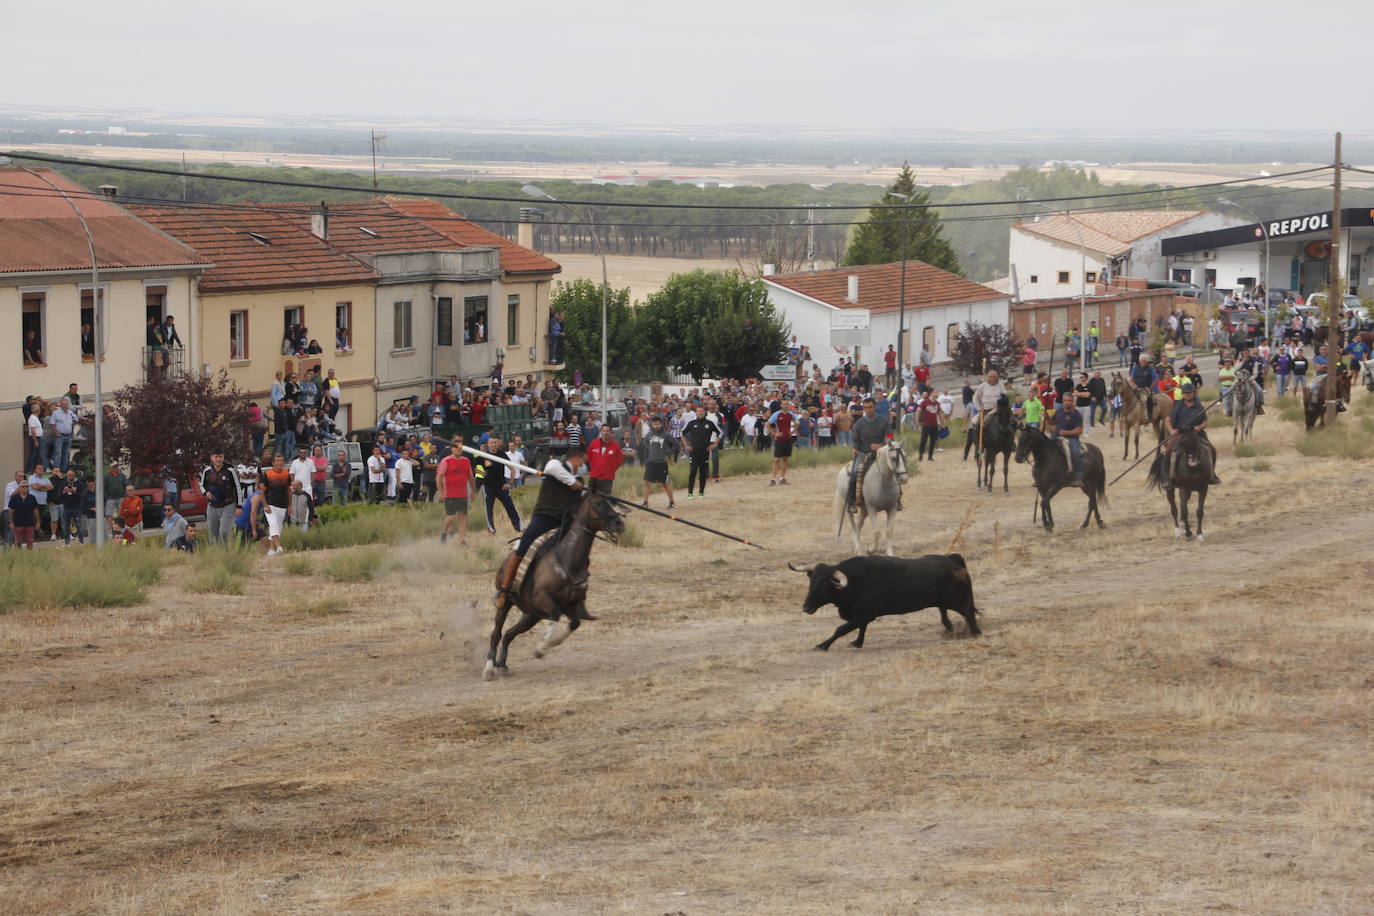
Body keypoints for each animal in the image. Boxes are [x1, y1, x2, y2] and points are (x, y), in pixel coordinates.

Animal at [486, 494, 626, 681]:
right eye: (597, 503)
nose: (619, 523)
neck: (568, 561)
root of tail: (505, 562)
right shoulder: (543, 598)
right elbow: (555, 616)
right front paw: (541, 648)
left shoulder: (572, 605)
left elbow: (574, 623)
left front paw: (549, 644)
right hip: (506, 605)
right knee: (496, 634)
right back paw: (489, 668)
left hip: (531, 615)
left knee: (509, 633)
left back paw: (502, 664)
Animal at [785, 552, 978, 650]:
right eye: (811, 581)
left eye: (825, 585)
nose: (806, 608)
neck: (855, 582)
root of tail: (953, 559)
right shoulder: (863, 615)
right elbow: (861, 628)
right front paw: (857, 643)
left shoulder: (865, 614)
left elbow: (841, 629)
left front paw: (822, 645)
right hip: (942, 601)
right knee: (944, 613)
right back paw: (951, 629)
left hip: (959, 602)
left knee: (969, 614)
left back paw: (975, 633)